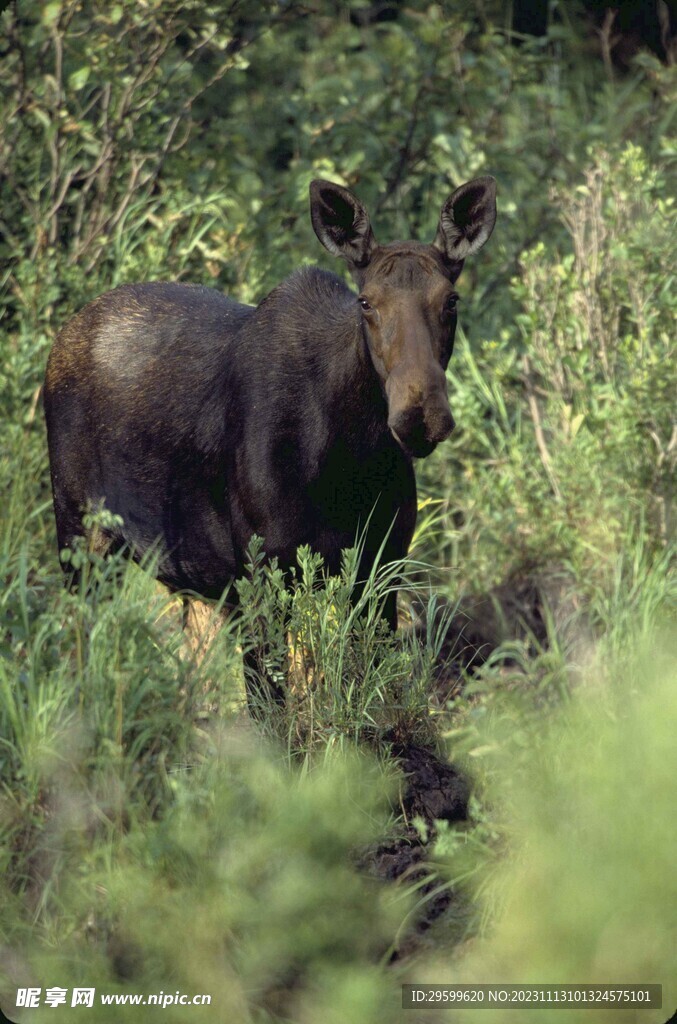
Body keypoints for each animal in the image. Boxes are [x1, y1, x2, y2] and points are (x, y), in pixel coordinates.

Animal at [43, 172, 495, 708]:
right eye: (366, 301)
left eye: (451, 300)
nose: (420, 414)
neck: (346, 458)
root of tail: (63, 336)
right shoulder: (261, 573)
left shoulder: (381, 569)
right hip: (80, 535)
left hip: (192, 578)